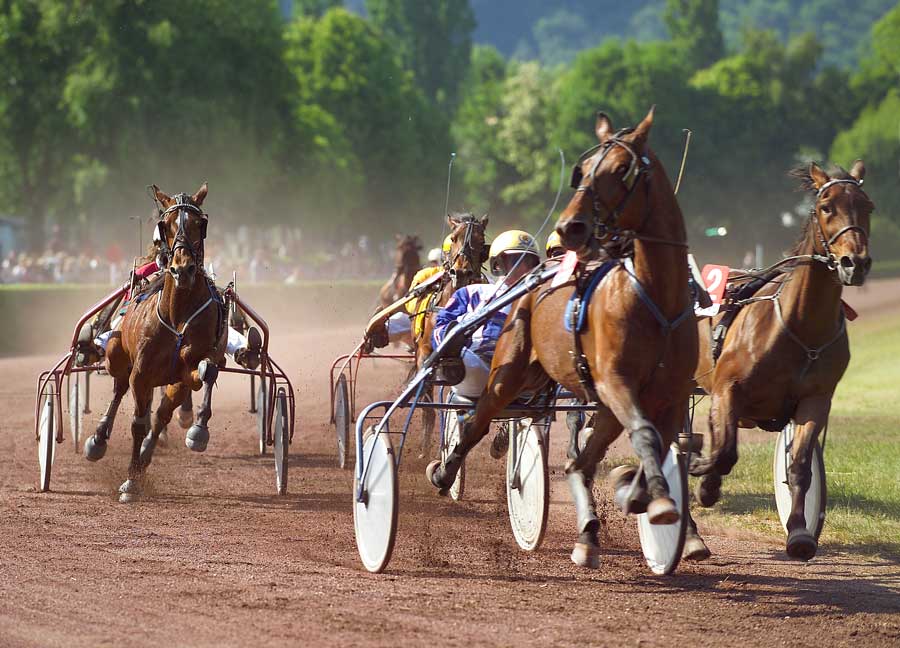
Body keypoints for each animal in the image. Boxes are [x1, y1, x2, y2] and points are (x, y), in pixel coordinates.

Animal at [83, 185, 227, 504]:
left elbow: (207, 371)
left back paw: (147, 455)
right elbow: (138, 422)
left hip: (172, 382)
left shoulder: (189, 370)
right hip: (116, 354)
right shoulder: (141, 373)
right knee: (119, 389)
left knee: (161, 413)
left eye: (200, 223)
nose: (182, 269)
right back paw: (99, 439)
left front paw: (198, 429)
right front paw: (130, 481)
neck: (177, 313)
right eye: (166, 224)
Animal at [426, 107, 700, 568]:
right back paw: (446, 471)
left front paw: (636, 492)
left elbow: (655, 446)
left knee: (579, 462)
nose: (571, 226)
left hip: (591, 400)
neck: (655, 298)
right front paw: (653, 500)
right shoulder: (616, 382)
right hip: (510, 372)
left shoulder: (669, 395)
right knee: (476, 420)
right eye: (582, 170)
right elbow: (645, 436)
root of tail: (531, 287)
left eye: (622, 169)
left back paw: (589, 533)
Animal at [688, 159, 872, 560]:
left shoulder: (815, 400)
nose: (856, 263)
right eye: (826, 207)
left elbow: (799, 466)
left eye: (868, 206)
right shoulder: (728, 389)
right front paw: (705, 482)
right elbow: (724, 452)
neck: (800, 326)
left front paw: (800, 532)